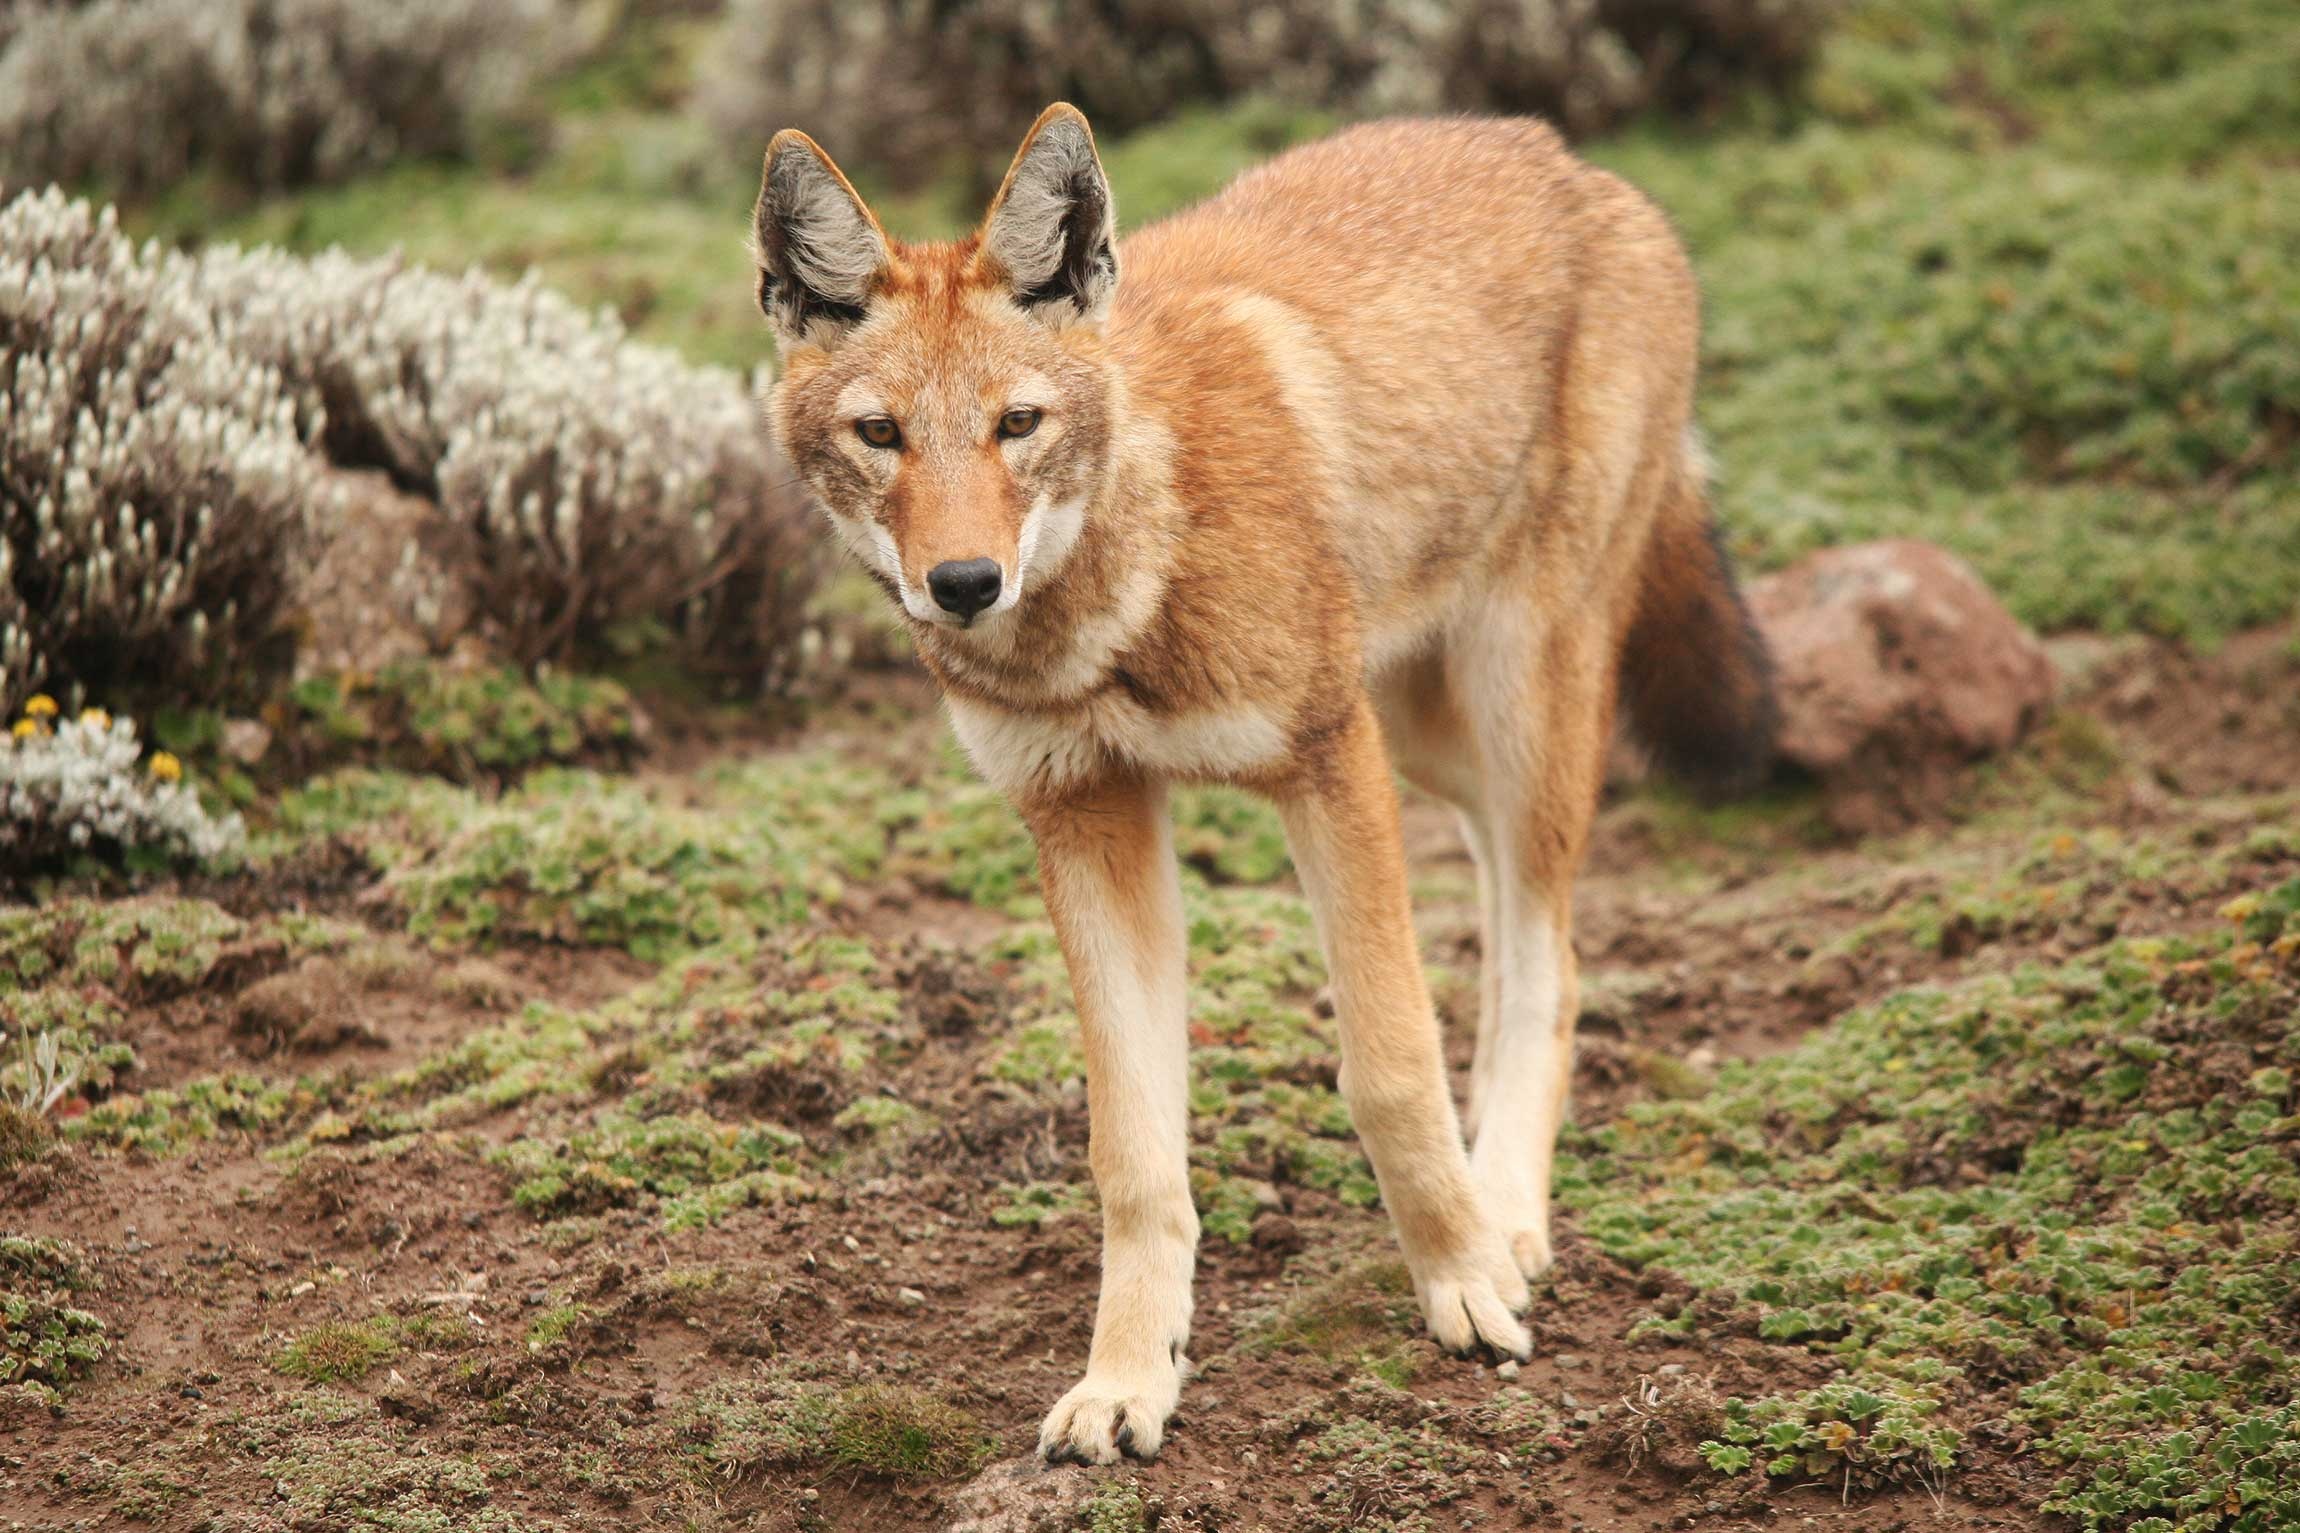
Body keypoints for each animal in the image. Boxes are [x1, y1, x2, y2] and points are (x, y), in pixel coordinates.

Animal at [745, 101, 1766, 1470]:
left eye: (1016, 426)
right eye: (880, 435)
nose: (962, 584)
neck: (1118, 598)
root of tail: (1571, 162)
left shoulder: (1327, 765)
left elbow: (1386, 1068)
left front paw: (1463, 1286)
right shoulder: (1087, 822)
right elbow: (1131, 1153)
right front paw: (1128, 1378)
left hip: (1513, 703)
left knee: (1546, 964)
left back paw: (1504, 1216)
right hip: (1432, 736)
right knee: (1511, 929)